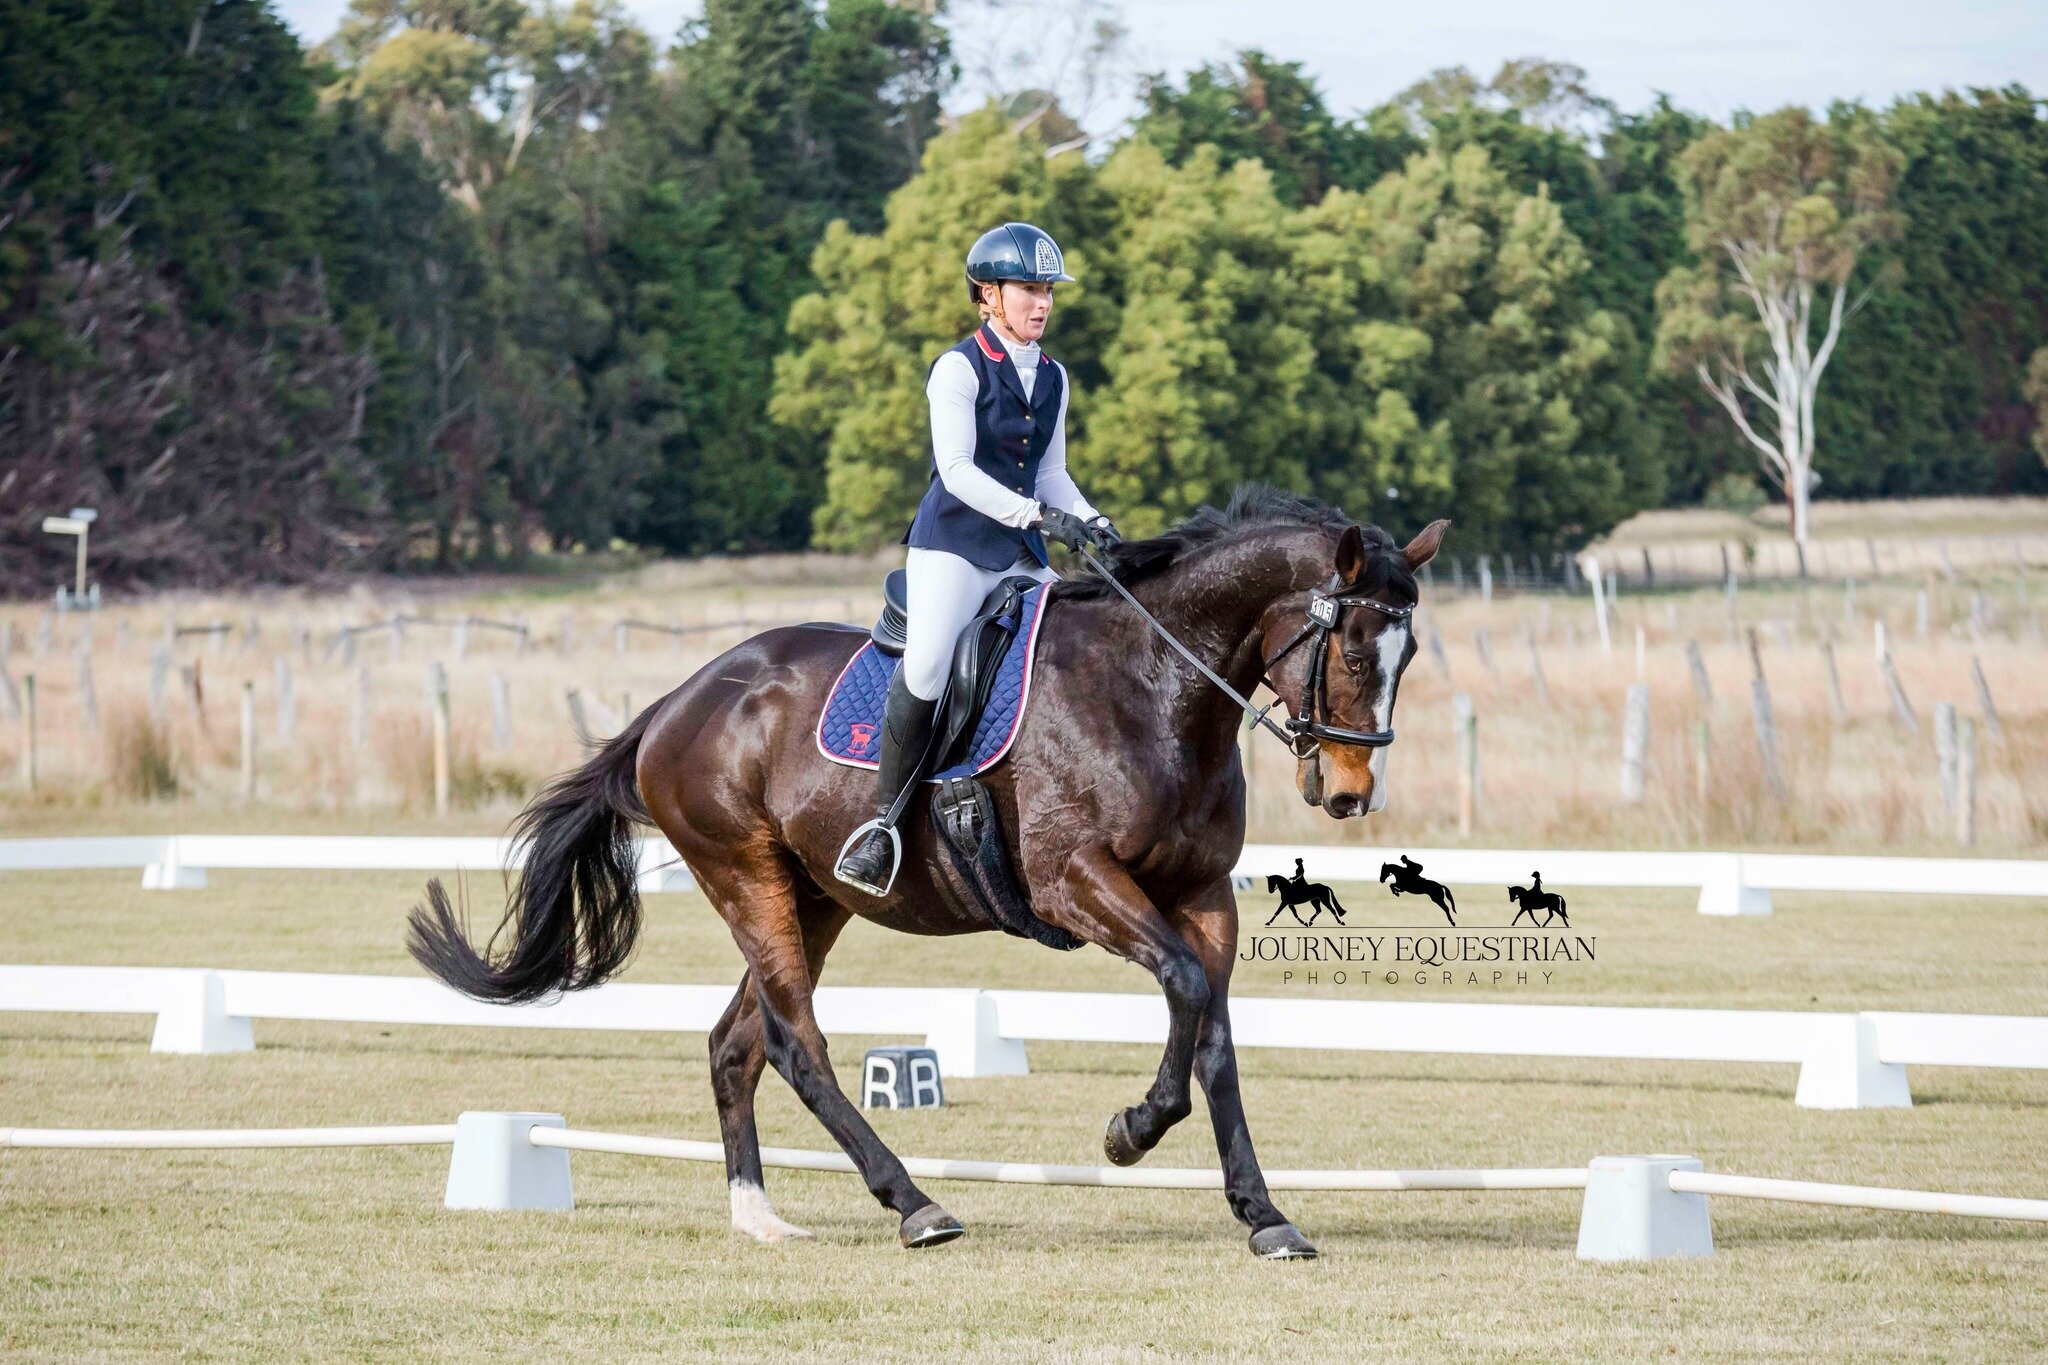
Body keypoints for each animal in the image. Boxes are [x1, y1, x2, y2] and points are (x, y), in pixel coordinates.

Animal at [407, 489, 1449, 1260]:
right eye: (1355, 648)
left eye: (1407, 654)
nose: (1350, 793)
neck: (1155, 688)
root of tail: (678, 700)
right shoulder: (1076, 880)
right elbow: (1186, 990)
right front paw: (1131, 1131)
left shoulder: (1201, 897)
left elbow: (1216, 1039)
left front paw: (1264, 1213)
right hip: (745, 874)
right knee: (795, 1042)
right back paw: (914, 1202)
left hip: (817, 895)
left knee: (735, 1042)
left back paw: (759, 1214)